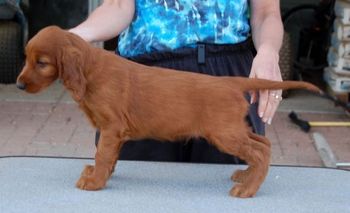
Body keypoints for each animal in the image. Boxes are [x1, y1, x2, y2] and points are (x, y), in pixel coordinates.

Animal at [17, 26, 322, 198]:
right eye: (26, 58)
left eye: (42, 62)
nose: (18, 85)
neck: (90, 69)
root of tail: (231, 81)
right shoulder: (111, 131)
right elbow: (108, 156)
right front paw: (99, 174)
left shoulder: (111, 127)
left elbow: (103, 154)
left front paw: (94, 182)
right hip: (233, 129)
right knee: (264, 145)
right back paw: (246, 177)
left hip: (224, 133)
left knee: (259, 151)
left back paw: (247, 189)